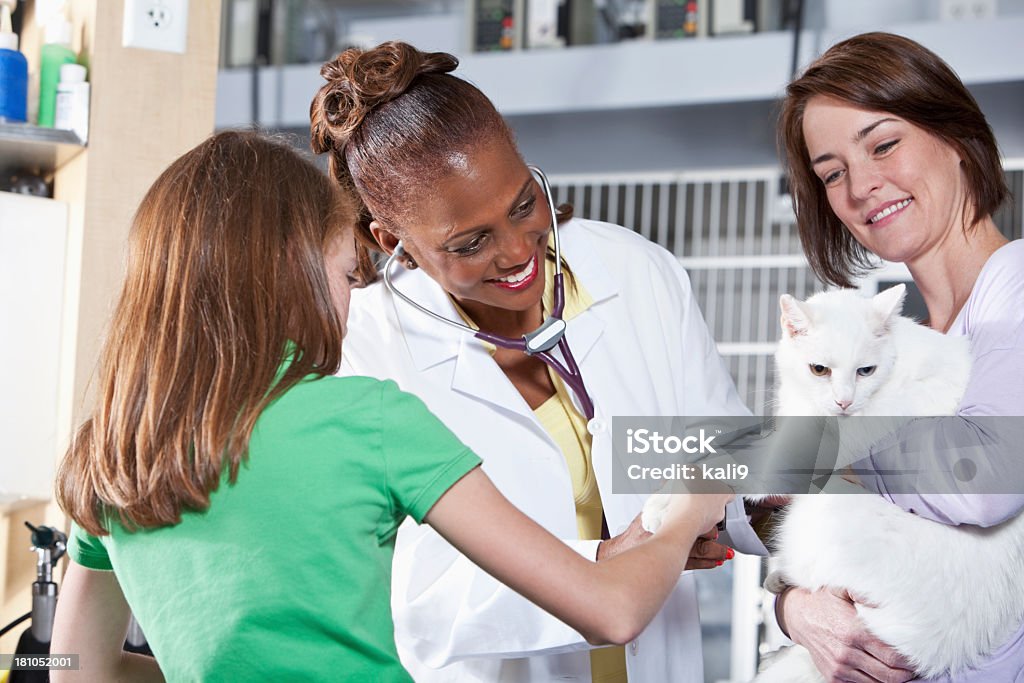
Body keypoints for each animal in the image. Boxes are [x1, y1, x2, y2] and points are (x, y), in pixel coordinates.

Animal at [643, 286, 1024, 679]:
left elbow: (734, 469)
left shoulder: (792, 460)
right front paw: (663, 497)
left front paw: (672, 504)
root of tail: (939, 647)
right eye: (819, 370)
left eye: (866, 371)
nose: (844, 402)